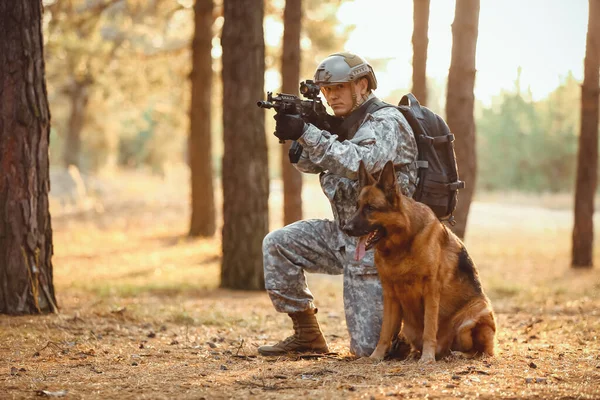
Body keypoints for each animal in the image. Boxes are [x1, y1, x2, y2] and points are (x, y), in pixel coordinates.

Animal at [342, 160, 496, 362]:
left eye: (370, 208)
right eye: (357, 206)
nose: (346, 228)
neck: (402, 244)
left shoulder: (431, 291)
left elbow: (429, 328)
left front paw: (427, 357)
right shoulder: (389, 295)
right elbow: (384, 333)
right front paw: (376, 356)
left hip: (473, 316)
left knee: (481, 350)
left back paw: (457, 354)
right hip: (409, 327)